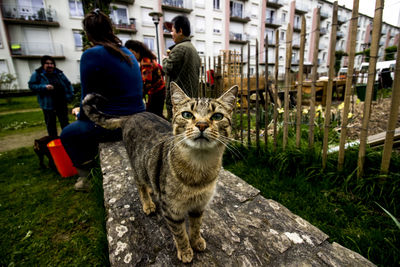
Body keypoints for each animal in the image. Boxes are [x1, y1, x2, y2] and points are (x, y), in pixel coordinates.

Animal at [82, 82, 238, 264]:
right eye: (187, 114)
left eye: (217, 116)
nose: (201, 125)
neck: (199, 170)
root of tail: (132, 115)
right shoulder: (171, 210)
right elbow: (180, 234)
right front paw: (185, 251)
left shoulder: (199, 206)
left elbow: (196, 226)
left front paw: (197, 241)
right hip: (137, 167)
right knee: (140, 185)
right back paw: (148, 203)